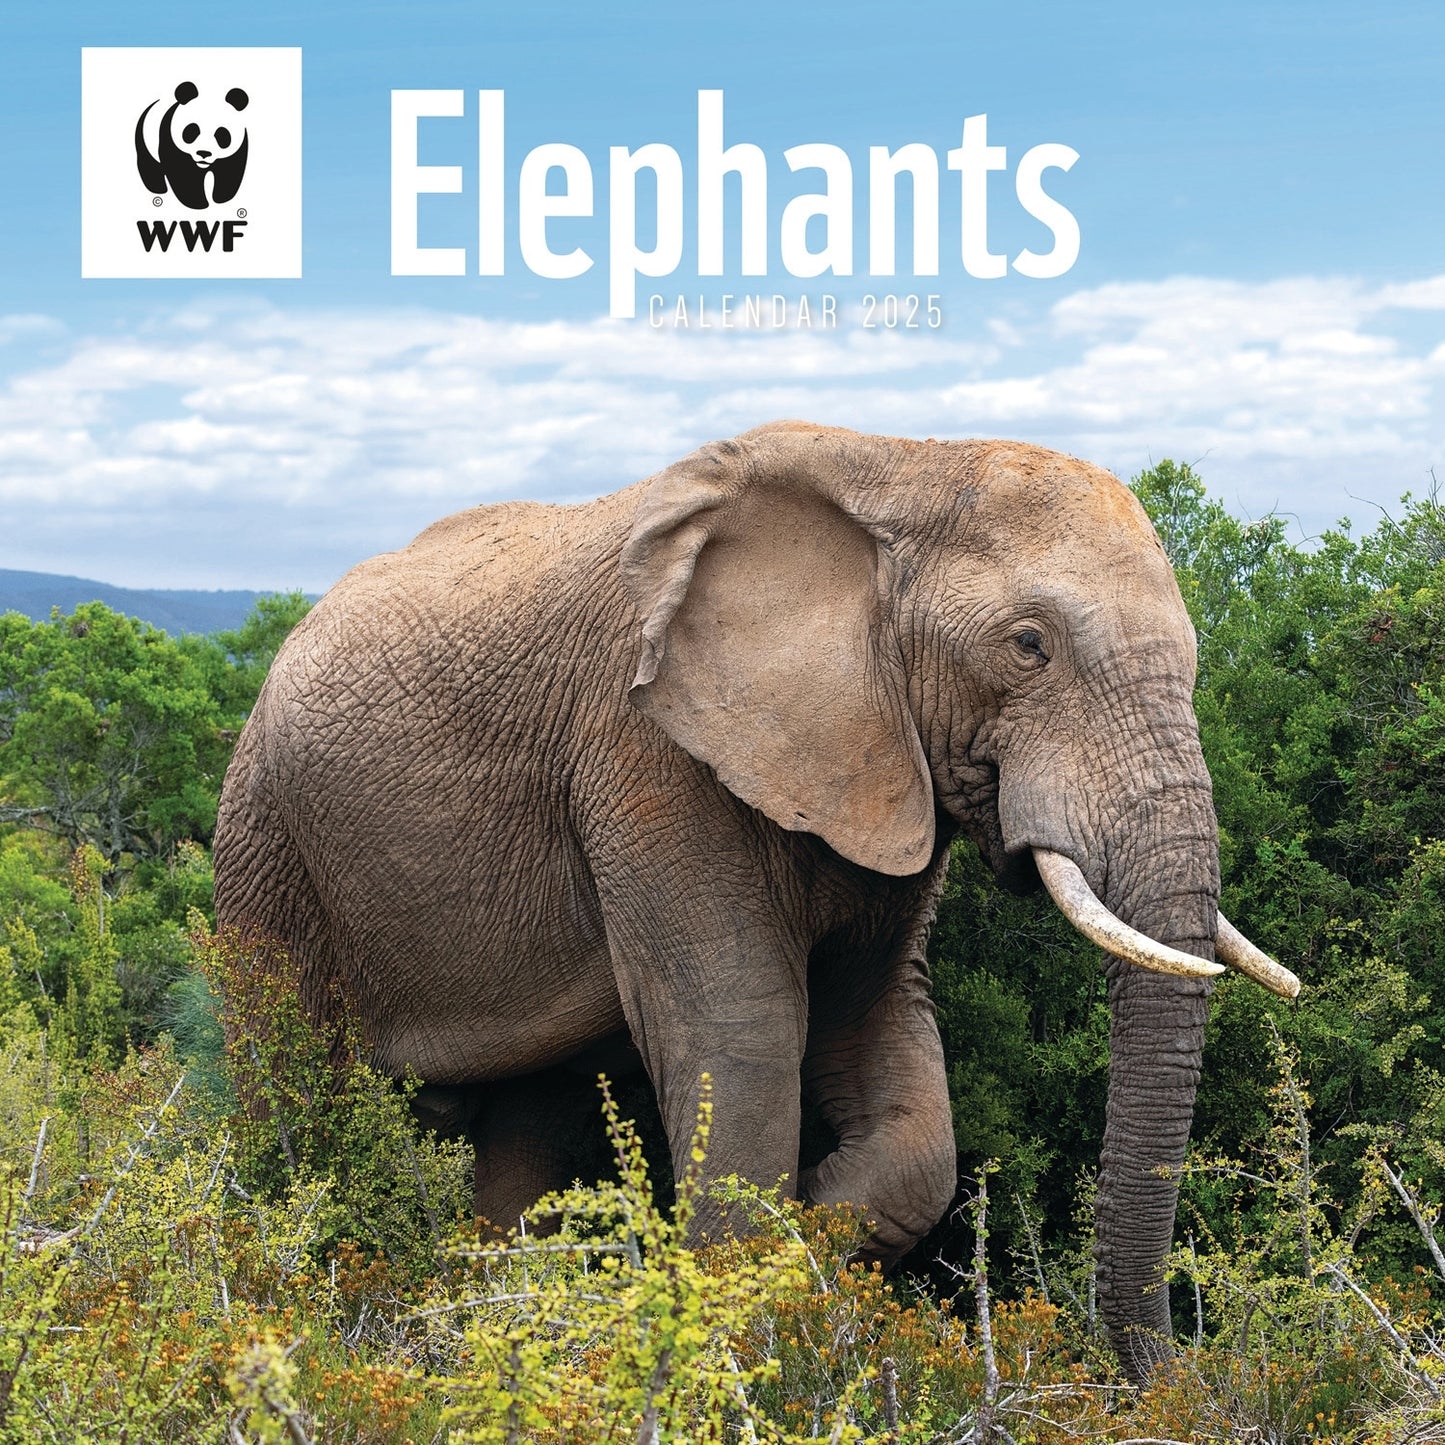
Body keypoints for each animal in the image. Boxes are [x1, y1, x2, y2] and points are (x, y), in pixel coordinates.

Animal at [211, 421, 1297, 1379]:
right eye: (1027, 644)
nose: (1164, 1378)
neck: (903, 467)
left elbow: (884, 1036)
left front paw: (809, 1222)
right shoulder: (646, 749)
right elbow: (743, 1025)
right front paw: (755, 1275)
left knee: (534, 1120)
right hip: (262, 830)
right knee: (293, 1089)